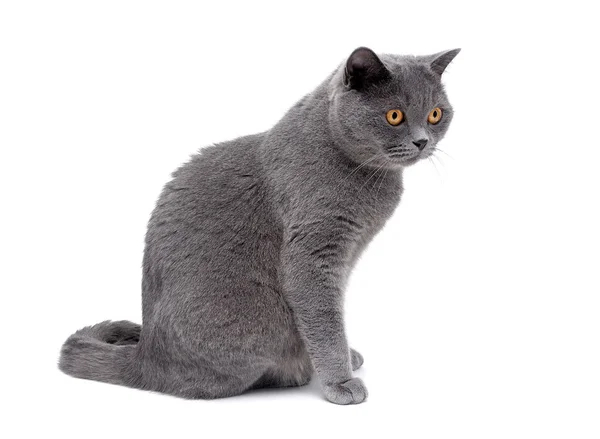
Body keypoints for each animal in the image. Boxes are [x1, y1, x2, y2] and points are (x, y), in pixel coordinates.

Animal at [58, 47, 460, 406]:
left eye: (436, 114)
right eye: (394, 115)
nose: (422, 140)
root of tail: (146, 359)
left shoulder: (344, 256)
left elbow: (330, 315)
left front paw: (347, 356)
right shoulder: (314, 249)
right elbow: (324, 317)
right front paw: (341, 381)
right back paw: (300, 369)